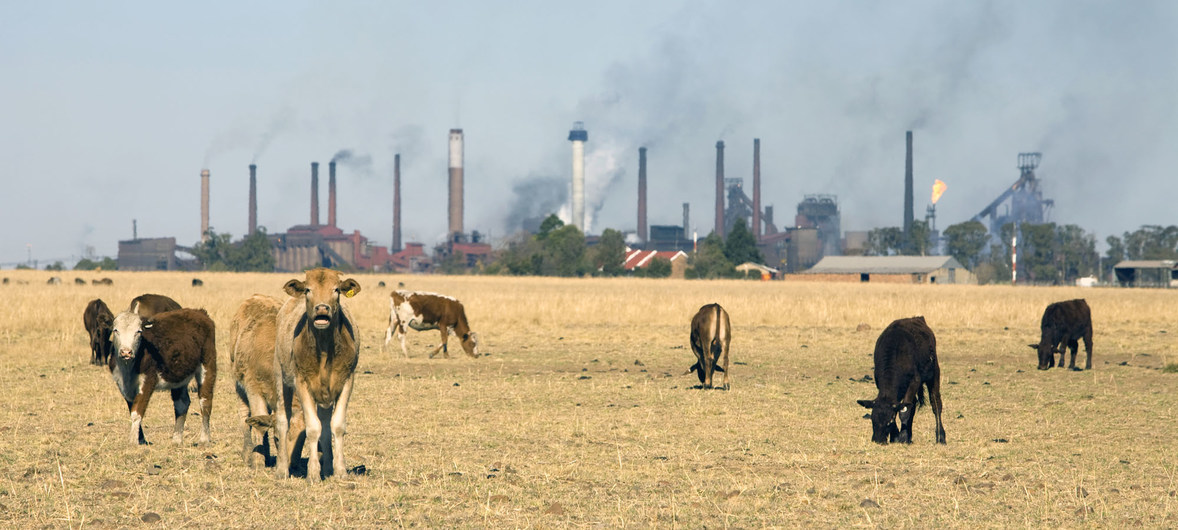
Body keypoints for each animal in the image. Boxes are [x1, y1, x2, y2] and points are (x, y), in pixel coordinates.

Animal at [108, 303, 219, 445]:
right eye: (116, 330)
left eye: (138, 332)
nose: (126, 352)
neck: (127, 369)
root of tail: (200, 312)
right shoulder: (123, 386)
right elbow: (132, 410)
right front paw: (141, 439)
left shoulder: (148, 381)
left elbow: (136, 412)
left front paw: (133, 442)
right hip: (179, 376)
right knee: (182, 404)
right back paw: (176, 439)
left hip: (207, 364)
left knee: (205, 401)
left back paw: (204, 439)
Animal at [228, 294, 303, 468]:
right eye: (278, 438)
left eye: (303, 439)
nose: (291, 465)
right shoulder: (253, 391)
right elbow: (257, 424)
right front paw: (258, 461)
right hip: (239, 387)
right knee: (245, 417)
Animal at [274, 267, 360, 482]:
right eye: (308, 290)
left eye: (336, 289)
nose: (322, 309)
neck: (324, 348)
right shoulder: (301, 382)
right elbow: (313, 427)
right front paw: (313, 473)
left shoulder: (347, 380)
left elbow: (336, 426)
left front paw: (340, 470)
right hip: (280, 377)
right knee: (283, 420)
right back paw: (282, 469)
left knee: (326, 424)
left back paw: (328, 467)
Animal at [857, 315, 947, 445]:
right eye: (873, 419)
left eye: (889, 422)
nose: (878, 440)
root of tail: (918, 318)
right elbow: (902, 407)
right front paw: (896, 436)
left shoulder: (915, 381)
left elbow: (904, 411)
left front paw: (903, 437)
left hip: (934, 373)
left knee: (936, 403)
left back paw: (940, 437)